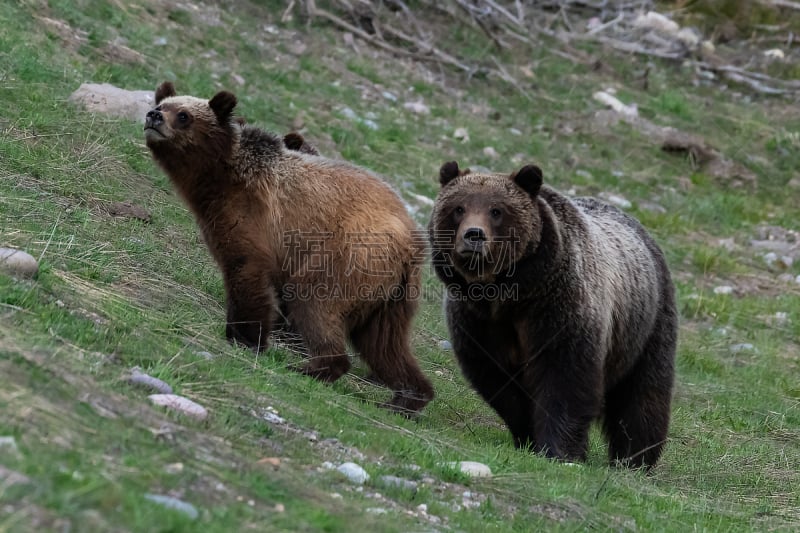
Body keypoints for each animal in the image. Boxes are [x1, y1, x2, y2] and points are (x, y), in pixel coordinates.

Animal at [142, 81, 432, 412]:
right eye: (161, 104)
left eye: (183, 115)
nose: (153, 116)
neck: (220, 177)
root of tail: (413, 240)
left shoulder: (254, 222)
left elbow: (246, 272)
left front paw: (245, 337)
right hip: (393, 294)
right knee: (385, 341)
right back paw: (407, 397)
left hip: (348, 256)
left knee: (316, 302)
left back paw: (312, 367)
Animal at [428, 162, 680, 466]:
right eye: (458, 208)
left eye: (496, 210)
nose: (473, 235)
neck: (508, 295)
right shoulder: (479, 323)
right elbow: (501, 384)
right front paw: (527, 437)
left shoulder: (558, 310)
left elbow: (565, 380)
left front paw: (559, 449)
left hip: (646, 325)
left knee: (643, 395)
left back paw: (635, 458)